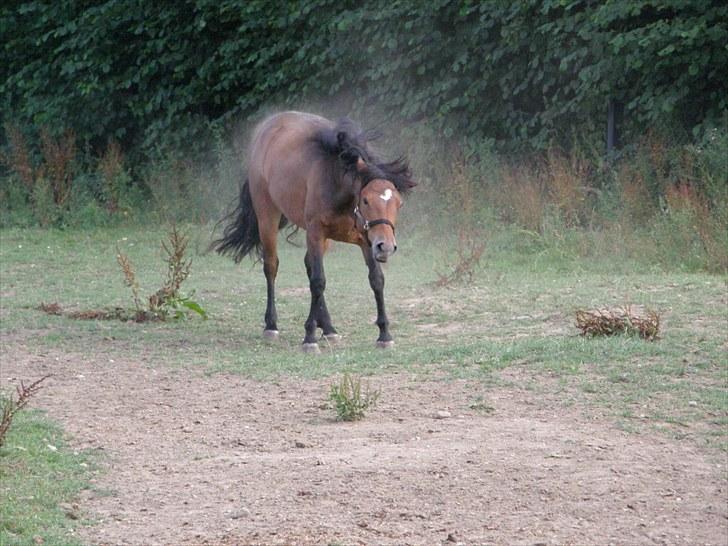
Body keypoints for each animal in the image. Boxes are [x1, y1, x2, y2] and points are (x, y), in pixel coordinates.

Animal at [212, 109, 416, 352]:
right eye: (366, 200)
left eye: (398, 203)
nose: (385, 247)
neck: (338, 186)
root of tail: (268, 127)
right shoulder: (316, 233)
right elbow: (318, 281)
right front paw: (309, 337)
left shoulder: (365, 240)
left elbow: (376, 279)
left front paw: (384, 334)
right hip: (268, 218)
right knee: (271, 266)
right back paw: (272, 325)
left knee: (309, 266)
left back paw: (328, 327)